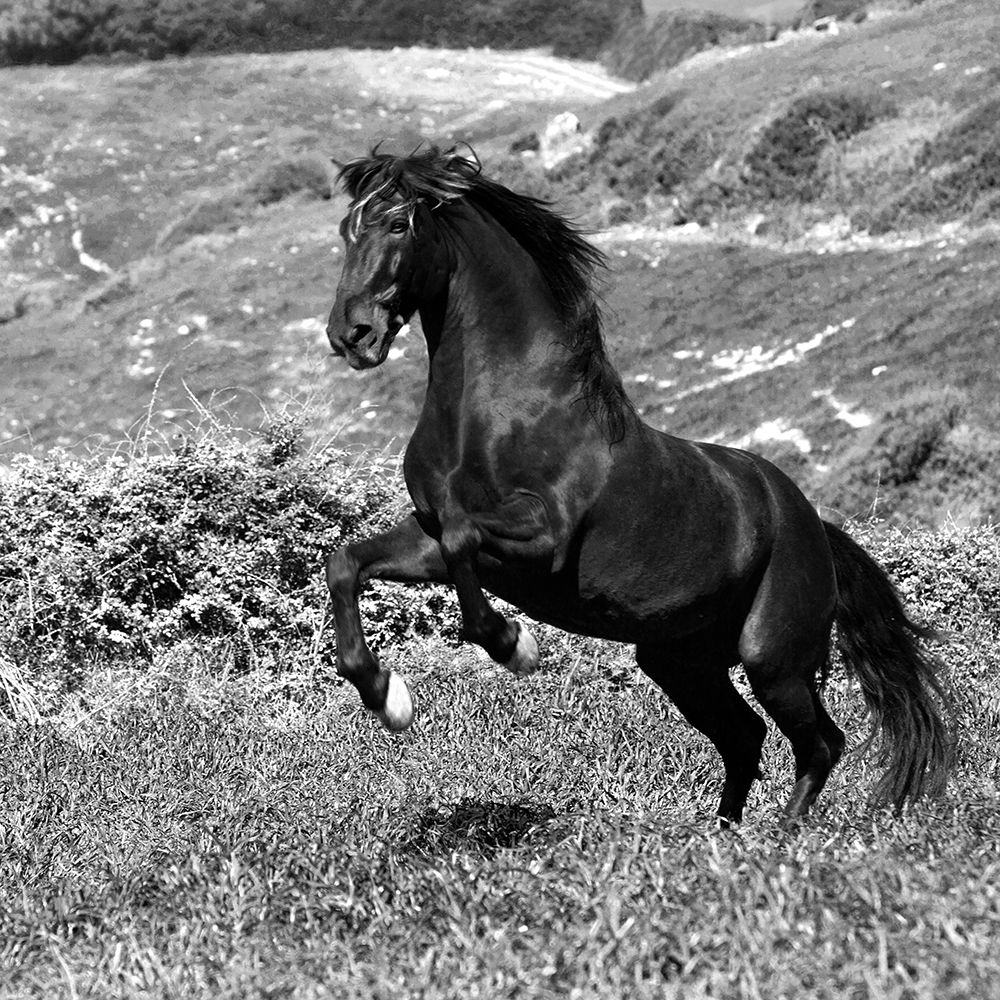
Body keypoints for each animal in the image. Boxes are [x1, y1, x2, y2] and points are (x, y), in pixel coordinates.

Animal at [323, 145, 952, 824]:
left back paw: (780, 839)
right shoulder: (431, 535)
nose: (350, 334)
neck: (495, 411)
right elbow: (347, 562)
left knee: (819, 745)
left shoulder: (543, 540)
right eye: (345, 230)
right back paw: (721, 838)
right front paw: (387, 697)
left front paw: (513, 645)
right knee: (745, 737)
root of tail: (815, 526)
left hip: (772, 658)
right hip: (680, 661)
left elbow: (465, 538)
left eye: (397, 225)